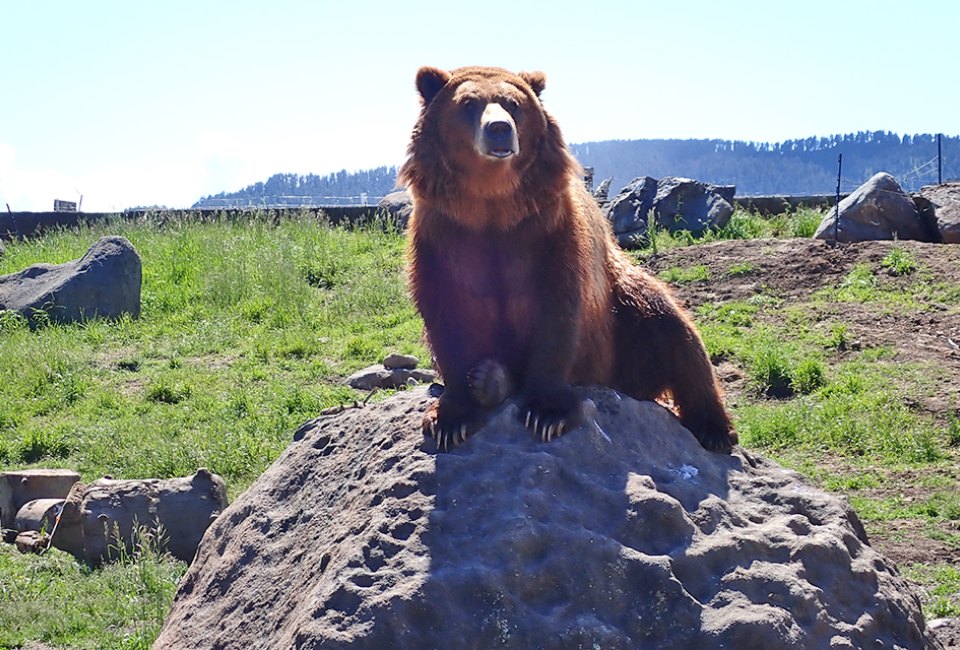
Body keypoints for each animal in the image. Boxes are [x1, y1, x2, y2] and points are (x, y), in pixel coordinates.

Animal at [398, 66, 736, 450]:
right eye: (469, 103)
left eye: (512, 103)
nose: (499, 128)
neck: (492, 203)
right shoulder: (443, 236)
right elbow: (447, 313)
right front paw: (450, 418)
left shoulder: (549, 232)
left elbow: (556, 309)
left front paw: (548, 412)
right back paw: (490, 379)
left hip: (624, 316)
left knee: (676, 334)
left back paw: (713, 429)